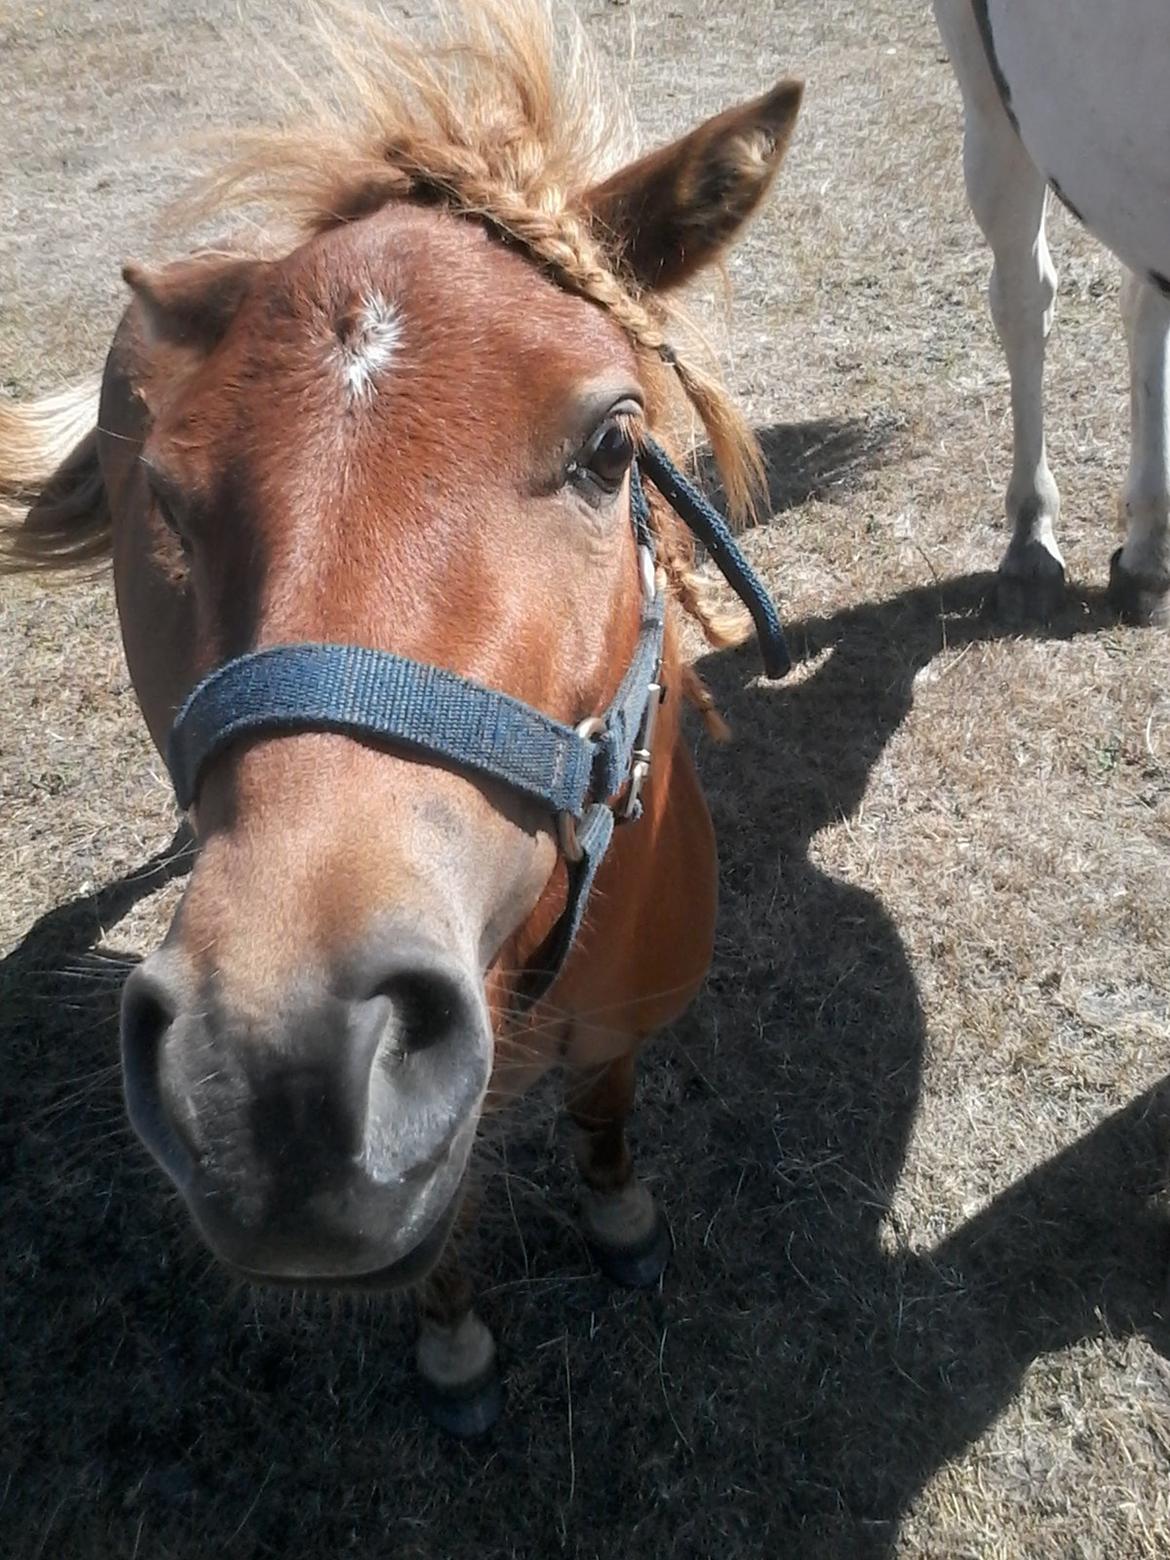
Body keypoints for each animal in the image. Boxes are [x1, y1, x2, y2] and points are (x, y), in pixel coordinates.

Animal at [0, 3, 804, 1435]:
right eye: (172, 496)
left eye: (614, 446)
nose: (273, 1082)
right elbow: (457, 1224)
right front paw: (456, 1350)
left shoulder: (623, 1030)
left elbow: (606, 1116)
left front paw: (622, 1220)